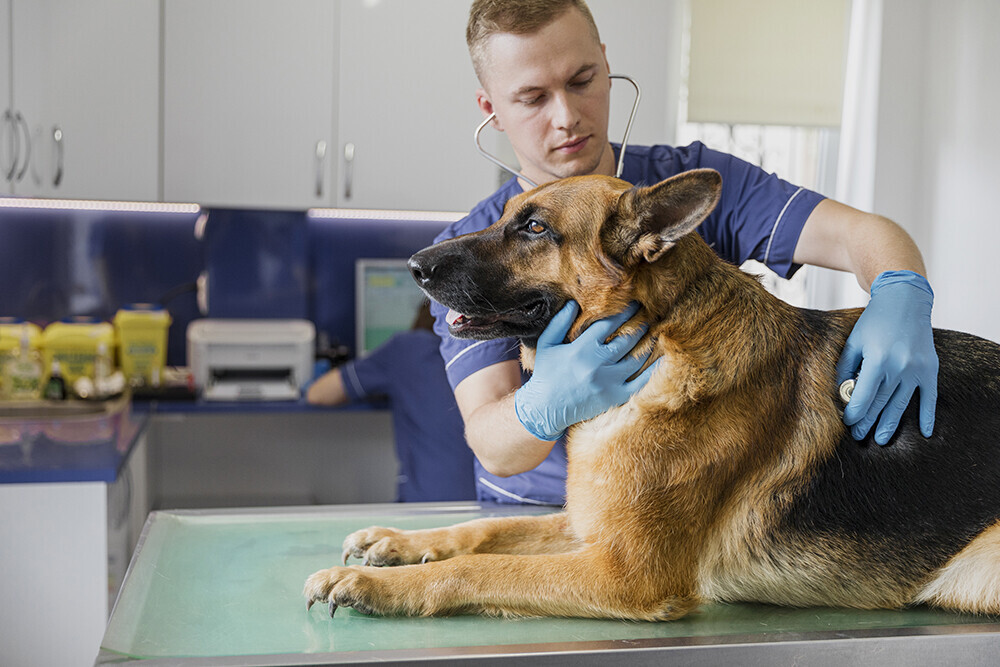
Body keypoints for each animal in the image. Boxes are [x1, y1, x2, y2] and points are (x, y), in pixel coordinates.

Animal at [304, 168, 1000, 620]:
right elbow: (487, 529)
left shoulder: (624, 573)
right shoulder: (586, 528)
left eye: (534, 228)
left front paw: (371, 584)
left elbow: (479, 567)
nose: (414, 266)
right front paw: (396, 545)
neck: (656, 345)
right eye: (505, 215)